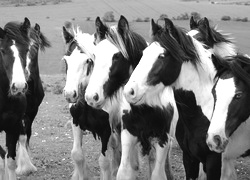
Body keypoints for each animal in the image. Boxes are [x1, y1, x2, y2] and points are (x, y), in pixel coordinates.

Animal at [84, 15, 178, 180]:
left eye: (116, 56)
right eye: (95, 55)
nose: (91, 97)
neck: (148, 106)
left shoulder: (163, 139)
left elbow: (157, 172)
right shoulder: (127, 135)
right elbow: (124, 170)